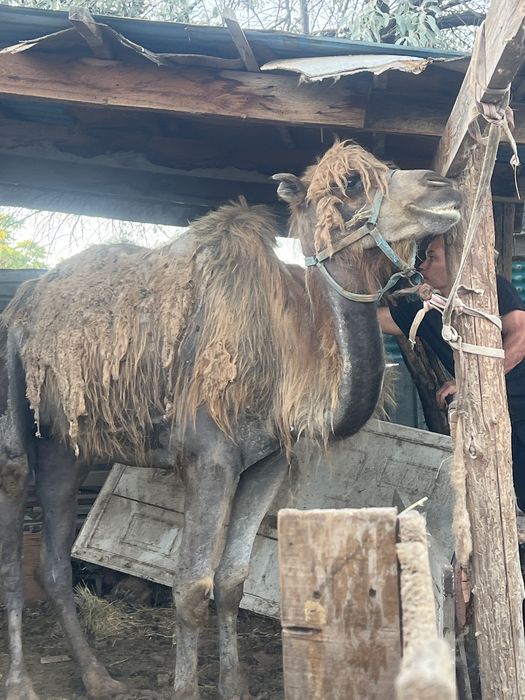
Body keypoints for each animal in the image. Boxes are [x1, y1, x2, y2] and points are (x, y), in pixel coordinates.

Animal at [0, 140, 461, 700]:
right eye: (350, 184)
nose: (444, 187)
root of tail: (21, 304)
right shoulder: (208, 459)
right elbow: (189, 587)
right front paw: (184, 689)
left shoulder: (267, 464)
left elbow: (232, 581)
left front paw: (234, 682)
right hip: (15, 418)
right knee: (13, 527)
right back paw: (21, 682)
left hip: (67, 447)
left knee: (53, 561)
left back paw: (99, 677)